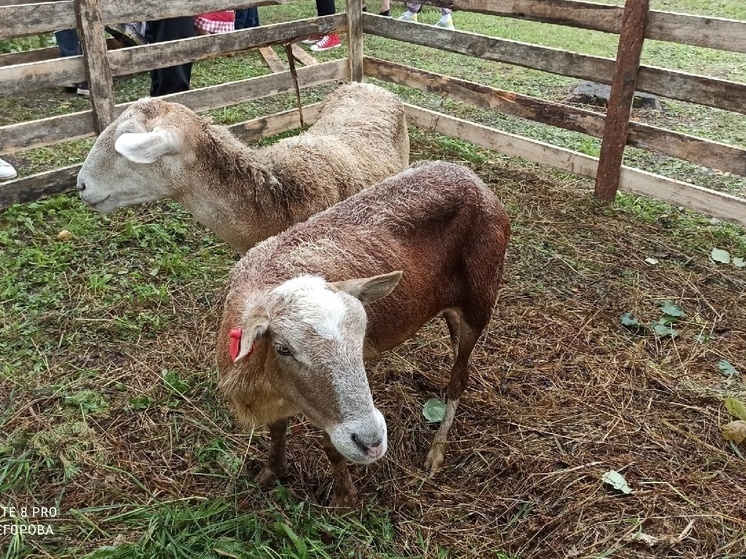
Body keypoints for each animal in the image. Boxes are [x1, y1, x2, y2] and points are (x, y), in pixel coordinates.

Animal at [218, 161, 512, 508]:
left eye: (360, 344)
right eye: (283, 348)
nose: (371, 442)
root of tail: (470, 175)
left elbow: (332, 447)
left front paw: (344, 497)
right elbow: (277, 431)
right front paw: (270, 473)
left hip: (480, 301)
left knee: (459, 377)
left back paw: (437, 450)